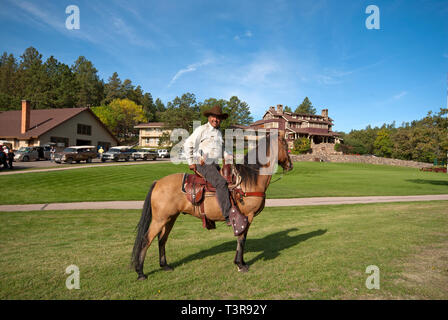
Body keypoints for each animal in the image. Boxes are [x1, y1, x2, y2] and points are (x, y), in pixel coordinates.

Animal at [130, 131, 294, 280]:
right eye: (286, 145)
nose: (290, 165)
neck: (249, 181)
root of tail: (158, 182)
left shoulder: (246, 218)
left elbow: (243, 238)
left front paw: (242, 262)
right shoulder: (247, 216)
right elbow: (241, 238)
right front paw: (240, 265)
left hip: (170, 218)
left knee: (162, 239)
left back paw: (165, 266)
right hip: (160, 219)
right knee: (146, 240)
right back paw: (140, 273)